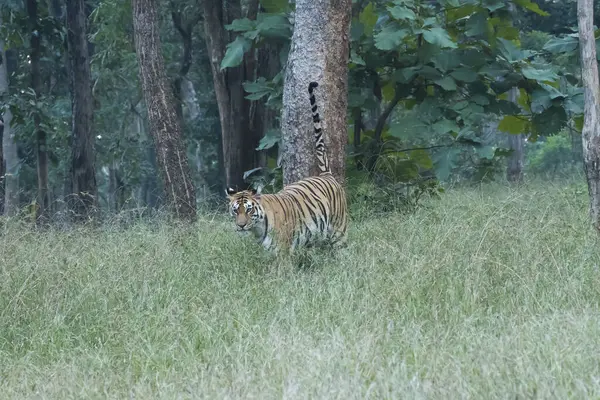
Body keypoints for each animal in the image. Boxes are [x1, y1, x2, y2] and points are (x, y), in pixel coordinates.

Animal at [225, 80, 346, 253]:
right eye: (235, 210)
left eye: (249, 209)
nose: (241, 226)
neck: (257, 229)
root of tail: (326, 175)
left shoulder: (282, 251)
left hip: (338, 231)